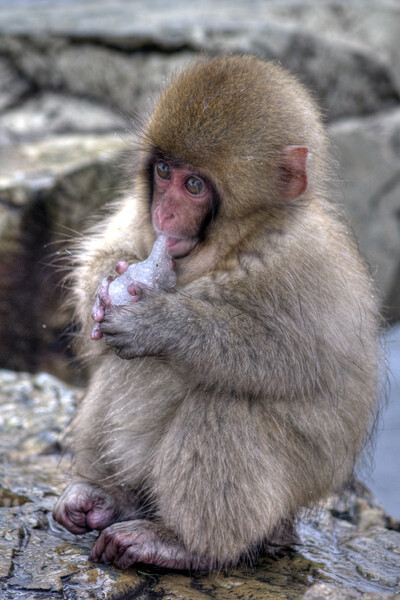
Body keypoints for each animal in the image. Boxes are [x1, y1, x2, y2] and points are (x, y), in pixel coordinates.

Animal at [51, 55, 380, 572]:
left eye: (194, 185)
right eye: (164, 171)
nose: (164, 215)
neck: (230, 243)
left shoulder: (306, 261)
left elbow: (291, 358)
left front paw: (160, 324)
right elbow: (100, 267)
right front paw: (111, 281)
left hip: (296, 488)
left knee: (223, 402)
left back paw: (186, 544)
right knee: (116, 373)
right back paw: (108, 496)